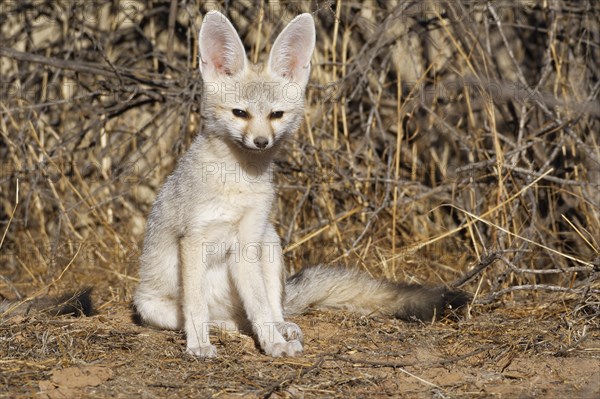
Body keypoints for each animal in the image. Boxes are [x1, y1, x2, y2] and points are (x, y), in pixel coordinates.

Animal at [132, 10, 468, 360]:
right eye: (240, 113)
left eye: (276, 115)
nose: (261, 142)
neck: (239, 184)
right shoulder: (194, 239)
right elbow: (196, 307)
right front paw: (198, 345)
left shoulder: (247, 240)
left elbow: (260, 307)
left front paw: (273, 342)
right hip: (152, 306)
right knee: (215, 316)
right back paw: (220, 329)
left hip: (270, 241)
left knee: (266, 309)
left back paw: (278, 328)